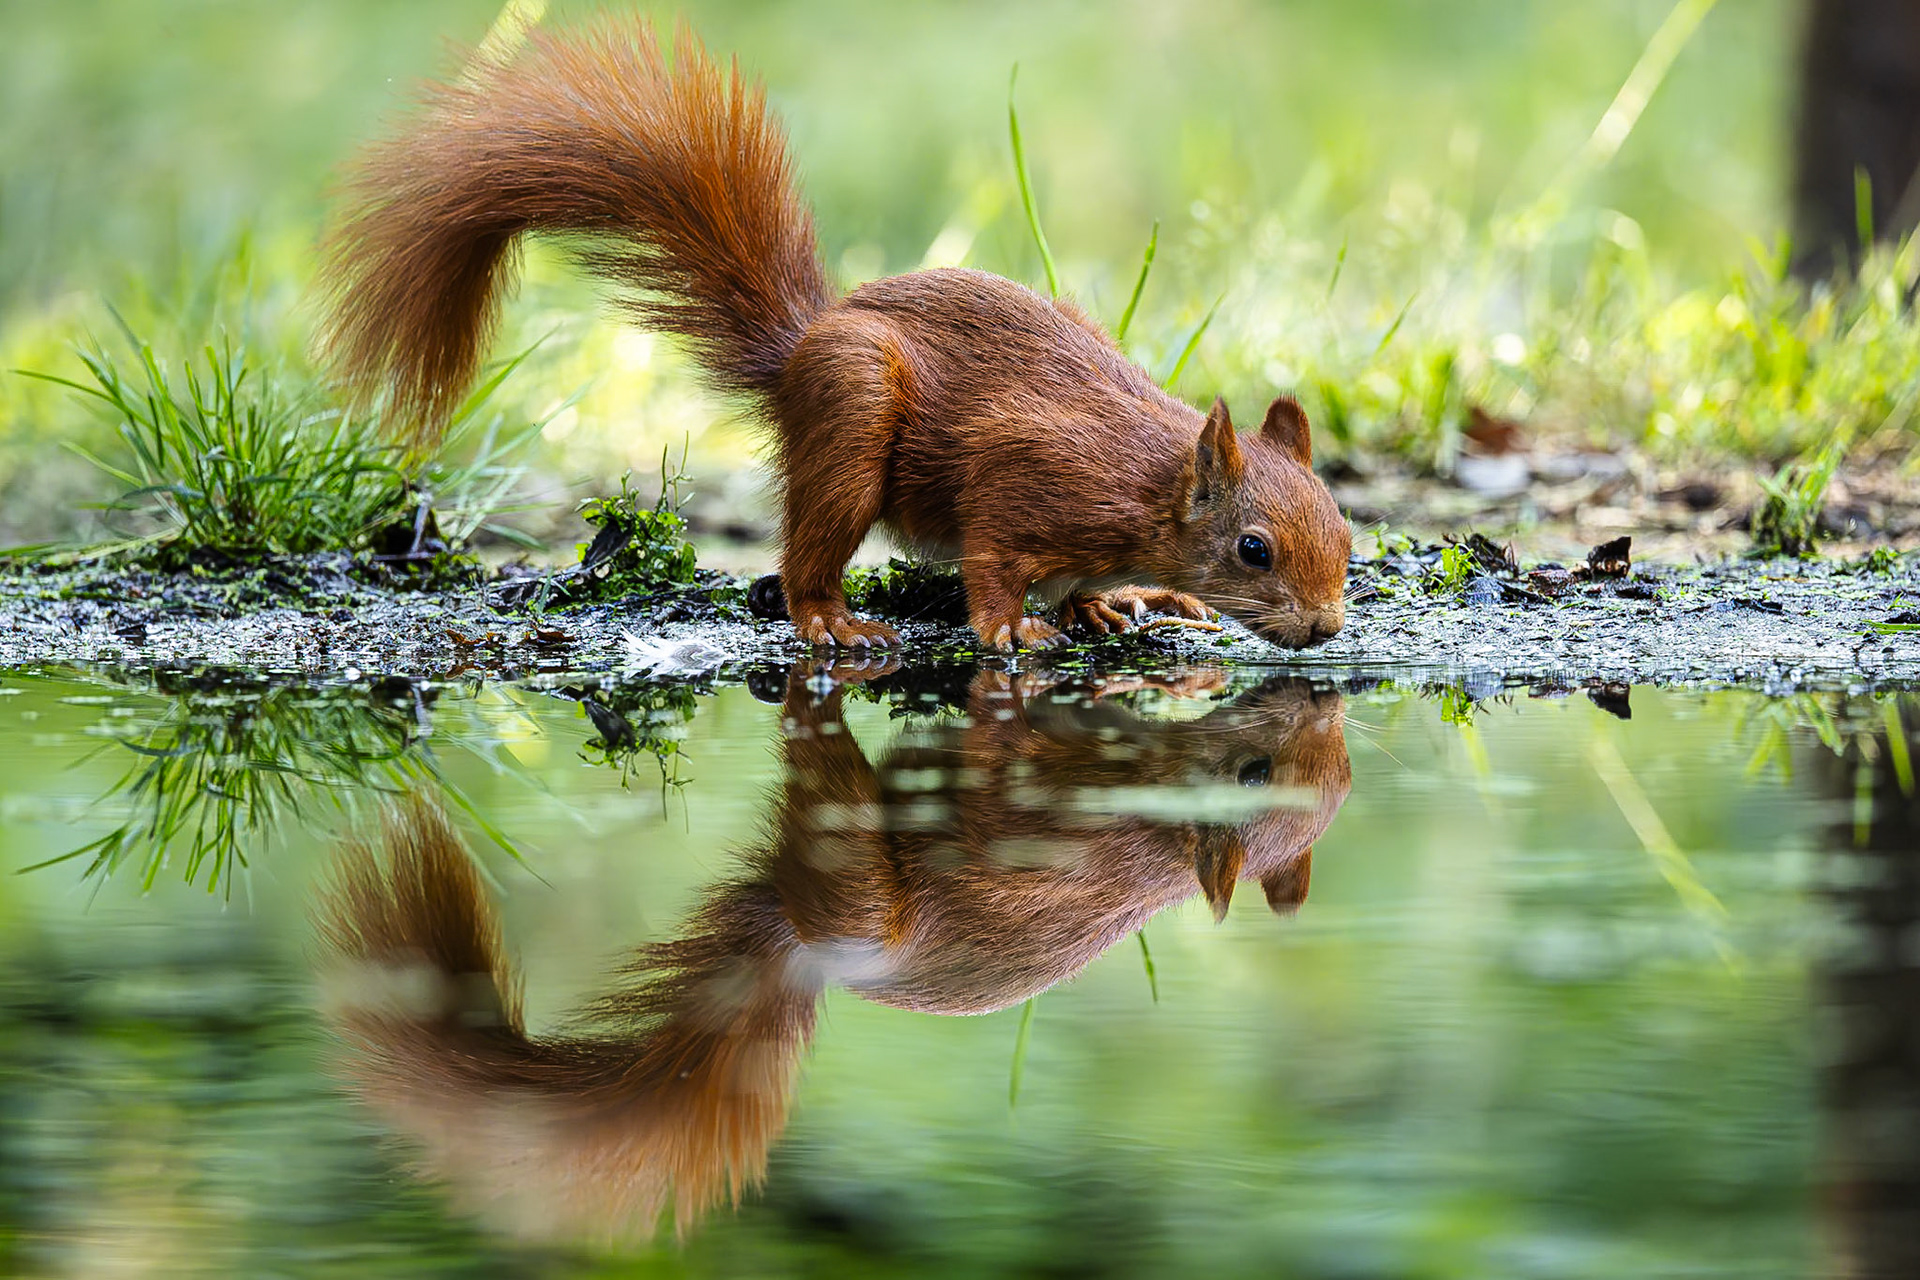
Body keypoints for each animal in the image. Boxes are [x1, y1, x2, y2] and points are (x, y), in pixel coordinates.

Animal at [318, 18, 1352, 653]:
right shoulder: (1026, 474)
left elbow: (1079, 583)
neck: (1148, 482)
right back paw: (832, 620)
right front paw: (1011, 627)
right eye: (1254, 550)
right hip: (852, 416)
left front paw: (1113, 599)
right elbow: (991, 561)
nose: (1327, 629)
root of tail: (802, 348)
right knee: (806, 553)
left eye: (1345, 528)